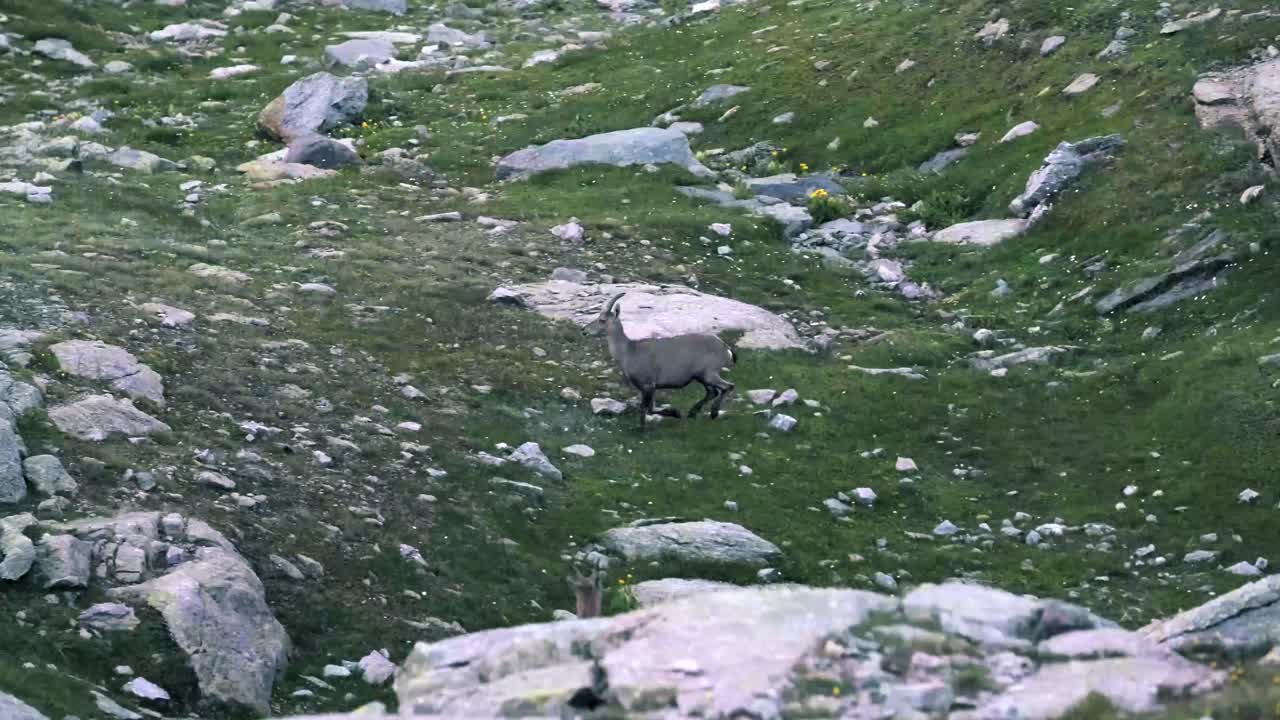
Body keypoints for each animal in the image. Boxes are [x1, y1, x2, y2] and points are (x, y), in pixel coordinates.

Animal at [583, 292, 736, 428]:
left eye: (602, 320)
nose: (584, 330)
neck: (629, 351)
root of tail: (725, 347)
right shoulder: (650, 387)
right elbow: (651, 408)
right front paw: (675, 413)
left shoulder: (647, 385)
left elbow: (645, 409)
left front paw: (641, 429)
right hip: (701, 376)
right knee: (713, 391)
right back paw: (693, 413)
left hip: (709, 373)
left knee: (727, 386)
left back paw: (714, 412)